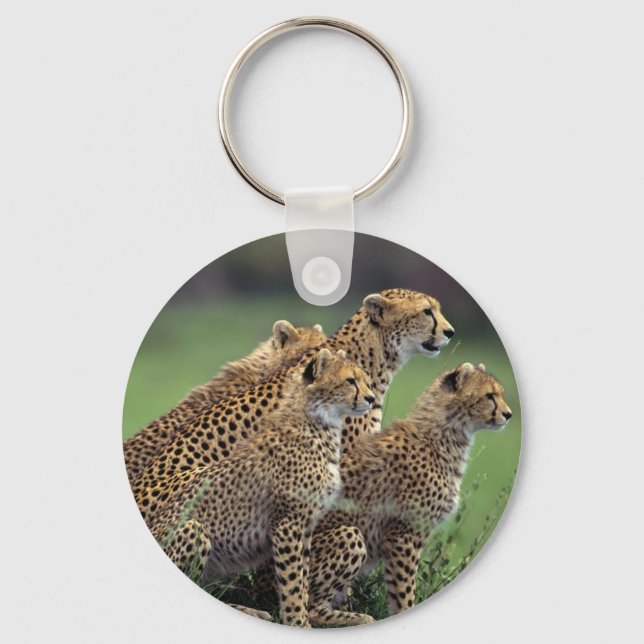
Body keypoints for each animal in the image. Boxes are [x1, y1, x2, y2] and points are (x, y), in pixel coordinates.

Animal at [147, 348, 375, 627]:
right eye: (350, 380)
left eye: (364, 378)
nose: (371, 398)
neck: (319, 423)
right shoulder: (287, 524)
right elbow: (292, 580)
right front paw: (297, 622)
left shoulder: (305, 526)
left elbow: (302, 577)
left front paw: (301, 618)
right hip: (193, 528)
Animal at [306, 362, 513, 625]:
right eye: (489, 395)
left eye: (499, 393)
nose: (508, 414)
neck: (445, 433)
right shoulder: (403, 535)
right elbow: (404, 590)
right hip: (348, 536)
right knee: (309, 607)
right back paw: (357, 618)